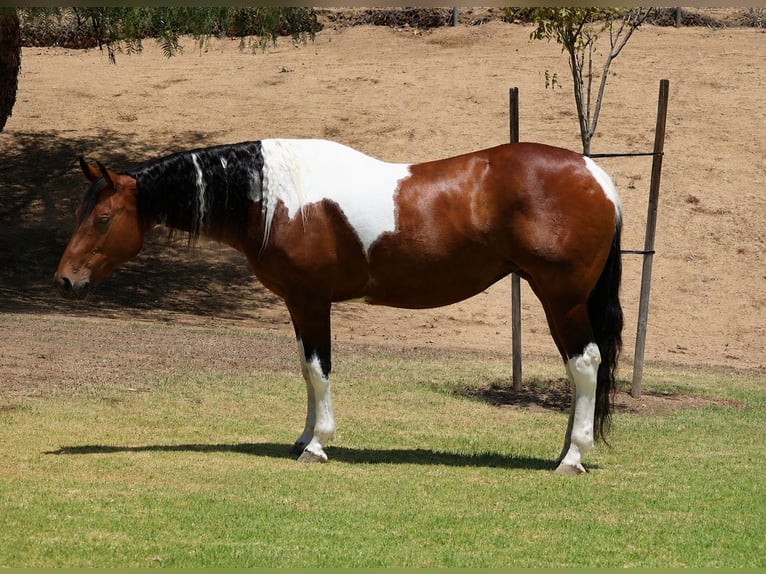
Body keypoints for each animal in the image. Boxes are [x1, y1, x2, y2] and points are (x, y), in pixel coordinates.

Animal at [53, 138, 623, 475]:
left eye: (102, 218)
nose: (64, 280)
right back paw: (565, 449)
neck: (279, 199)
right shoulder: (300, 303)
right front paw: (304, 436)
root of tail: (596, 176)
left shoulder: (311, 299)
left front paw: (317, 444)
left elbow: (318, 368)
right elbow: (308, 370)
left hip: (561, 297)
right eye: (81, 212)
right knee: (579, 367)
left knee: (585, 363)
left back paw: (574, 455)